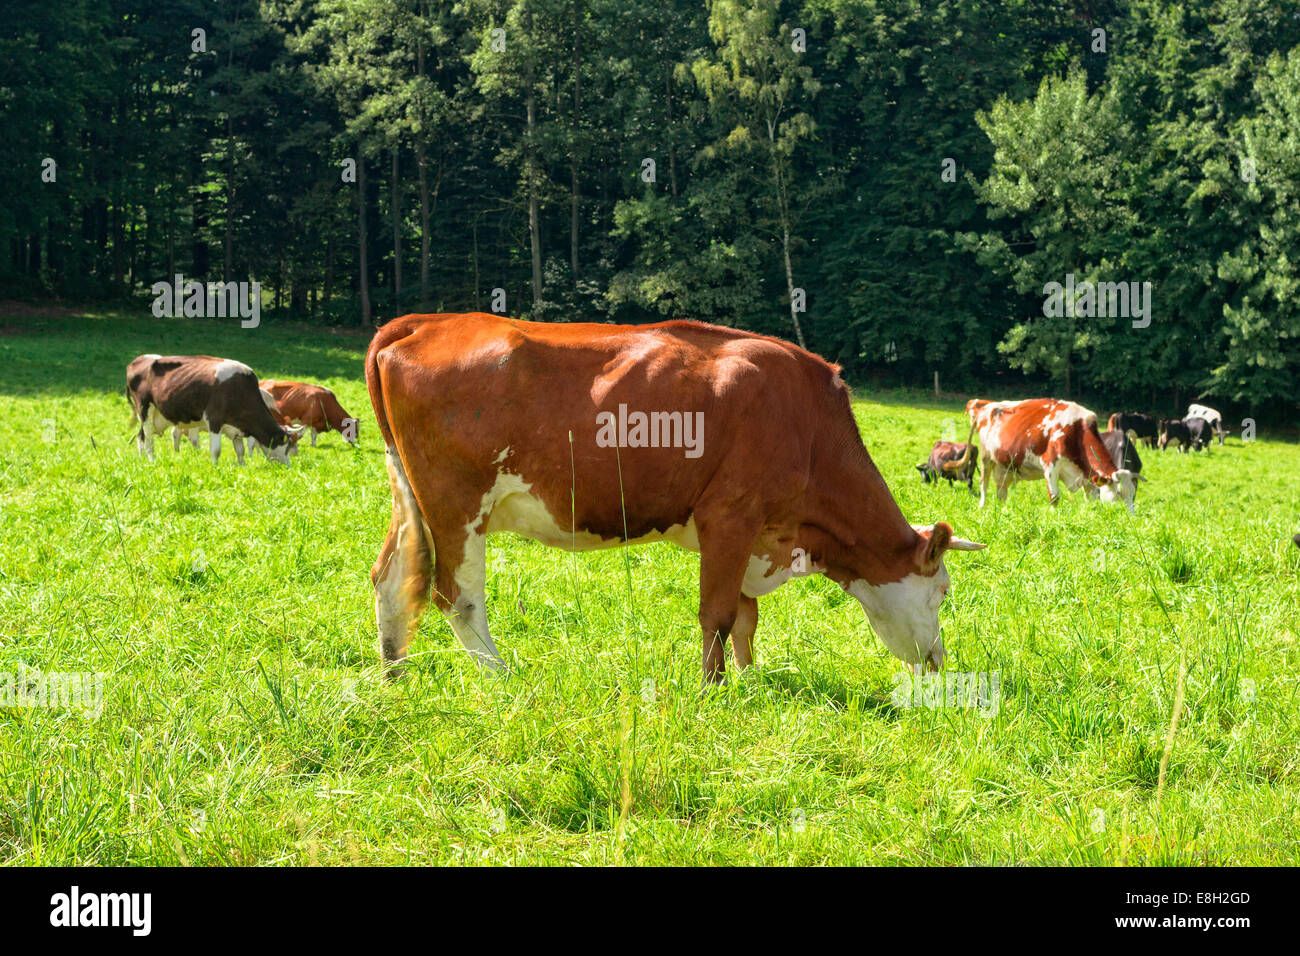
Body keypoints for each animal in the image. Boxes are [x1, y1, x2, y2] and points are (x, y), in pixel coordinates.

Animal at [126, 354, 302, 464]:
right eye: (287, 446)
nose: (288, 466)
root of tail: (137, 360)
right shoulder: (214, 419)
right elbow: (216, 450)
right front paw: (215, 467)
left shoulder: (236, 428)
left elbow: (240, 451)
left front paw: (242, 466)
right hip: (144, 409)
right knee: (149, 439)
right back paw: (152, 460)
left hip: (153, 416)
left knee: (140, 436)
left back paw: (142, 459)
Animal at [365, 313, 986, 684]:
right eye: (944, 591)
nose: (939, 661)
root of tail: (428, 320)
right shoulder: (731, 515)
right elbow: (718, 612)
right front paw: (712, 689)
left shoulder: (751, 534)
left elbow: (746, 615)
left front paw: (748, 679)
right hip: (456, 503)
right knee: (457, 596)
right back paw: (501, 678)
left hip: (410, 493)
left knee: (391, 575)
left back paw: (396, 675)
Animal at [968, 398, 1140, 513]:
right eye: (1119, 493)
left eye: (1134, 494)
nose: (1130, 518)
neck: (1078, 430)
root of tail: (986, 406)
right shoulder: (1049, 464)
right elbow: (1054, 497)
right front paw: (1053, 518)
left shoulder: (1087, 474)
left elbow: (1092, 499)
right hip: (985, 458)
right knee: (984, 483)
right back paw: (982, 506)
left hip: (1004, 466)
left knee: (1001, 492)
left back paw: (1002, 510)